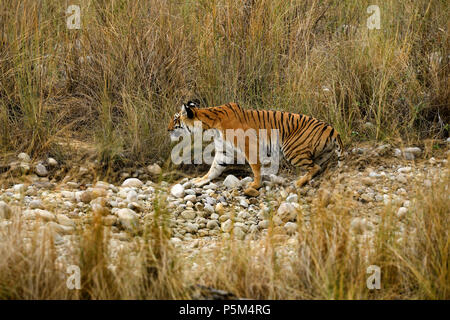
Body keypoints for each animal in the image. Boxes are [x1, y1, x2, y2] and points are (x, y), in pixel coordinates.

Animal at [169, 100, 344, 196]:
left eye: (176, 119)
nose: (168, 129)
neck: (210, 126)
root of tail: (332, 129)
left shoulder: (249, 144)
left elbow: (255, 166)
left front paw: (255, 185)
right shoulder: (224, 152)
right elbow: (213, 169)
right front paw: (200, 181)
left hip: (291, 149)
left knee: (315, 167)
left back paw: (298, 182)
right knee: (318, 167)